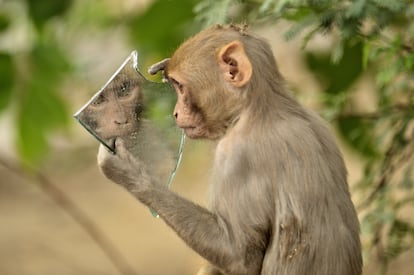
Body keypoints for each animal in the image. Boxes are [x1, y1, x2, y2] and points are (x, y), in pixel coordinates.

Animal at [97, 24, 362, 275]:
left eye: (180, 87)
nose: (175, 113)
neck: (261, 108)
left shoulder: (236, 155)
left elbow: (239, 258)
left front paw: (129, 172)